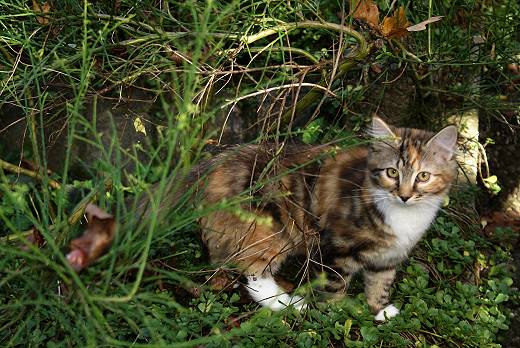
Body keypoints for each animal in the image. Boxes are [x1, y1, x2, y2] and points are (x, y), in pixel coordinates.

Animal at [148, 117, 458, 320]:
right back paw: (289, 304)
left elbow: (380, 284)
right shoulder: (336, 248)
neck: (404, 215)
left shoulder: (388, 256)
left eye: (423, 176)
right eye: (392, 173)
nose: (404, 196)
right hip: (270, 229)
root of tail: (218, 162)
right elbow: (335, 287)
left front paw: (380, 311)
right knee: (253, 272)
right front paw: (333, 315)